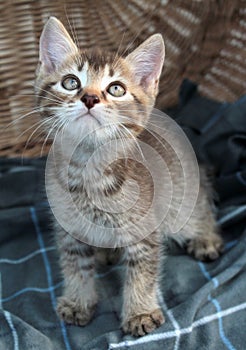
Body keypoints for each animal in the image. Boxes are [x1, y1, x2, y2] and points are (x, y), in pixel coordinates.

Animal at [35, 17, 224, 336]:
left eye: (116, 89)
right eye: (71, 82)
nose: (89, 98)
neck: (88, 170)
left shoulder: (144, 232)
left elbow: (142, 274)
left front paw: (139, 312)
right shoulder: (69, 231)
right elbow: (75, 268)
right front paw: (78, 301)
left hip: (181, 206)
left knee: (200, 209)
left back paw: (206, 237)